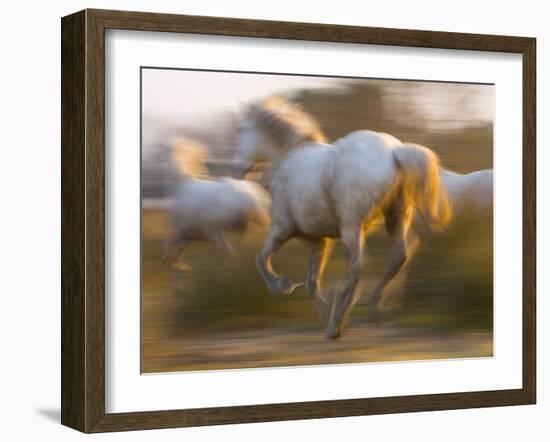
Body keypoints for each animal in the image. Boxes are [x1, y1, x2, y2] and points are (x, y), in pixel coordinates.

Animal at [233, 97, 452, 338]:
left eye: (240, 129)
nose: (237, 169)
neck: (288, 158)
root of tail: (395, 151)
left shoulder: (282, 230)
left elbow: (261, 260)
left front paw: (283, 286)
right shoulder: (319, 240)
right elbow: (311, 281)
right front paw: (323, 306)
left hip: (352, 227)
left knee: (358, 266)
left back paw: (336, 324)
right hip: (395, 219)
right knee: (400, 256)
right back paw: (377, 309)